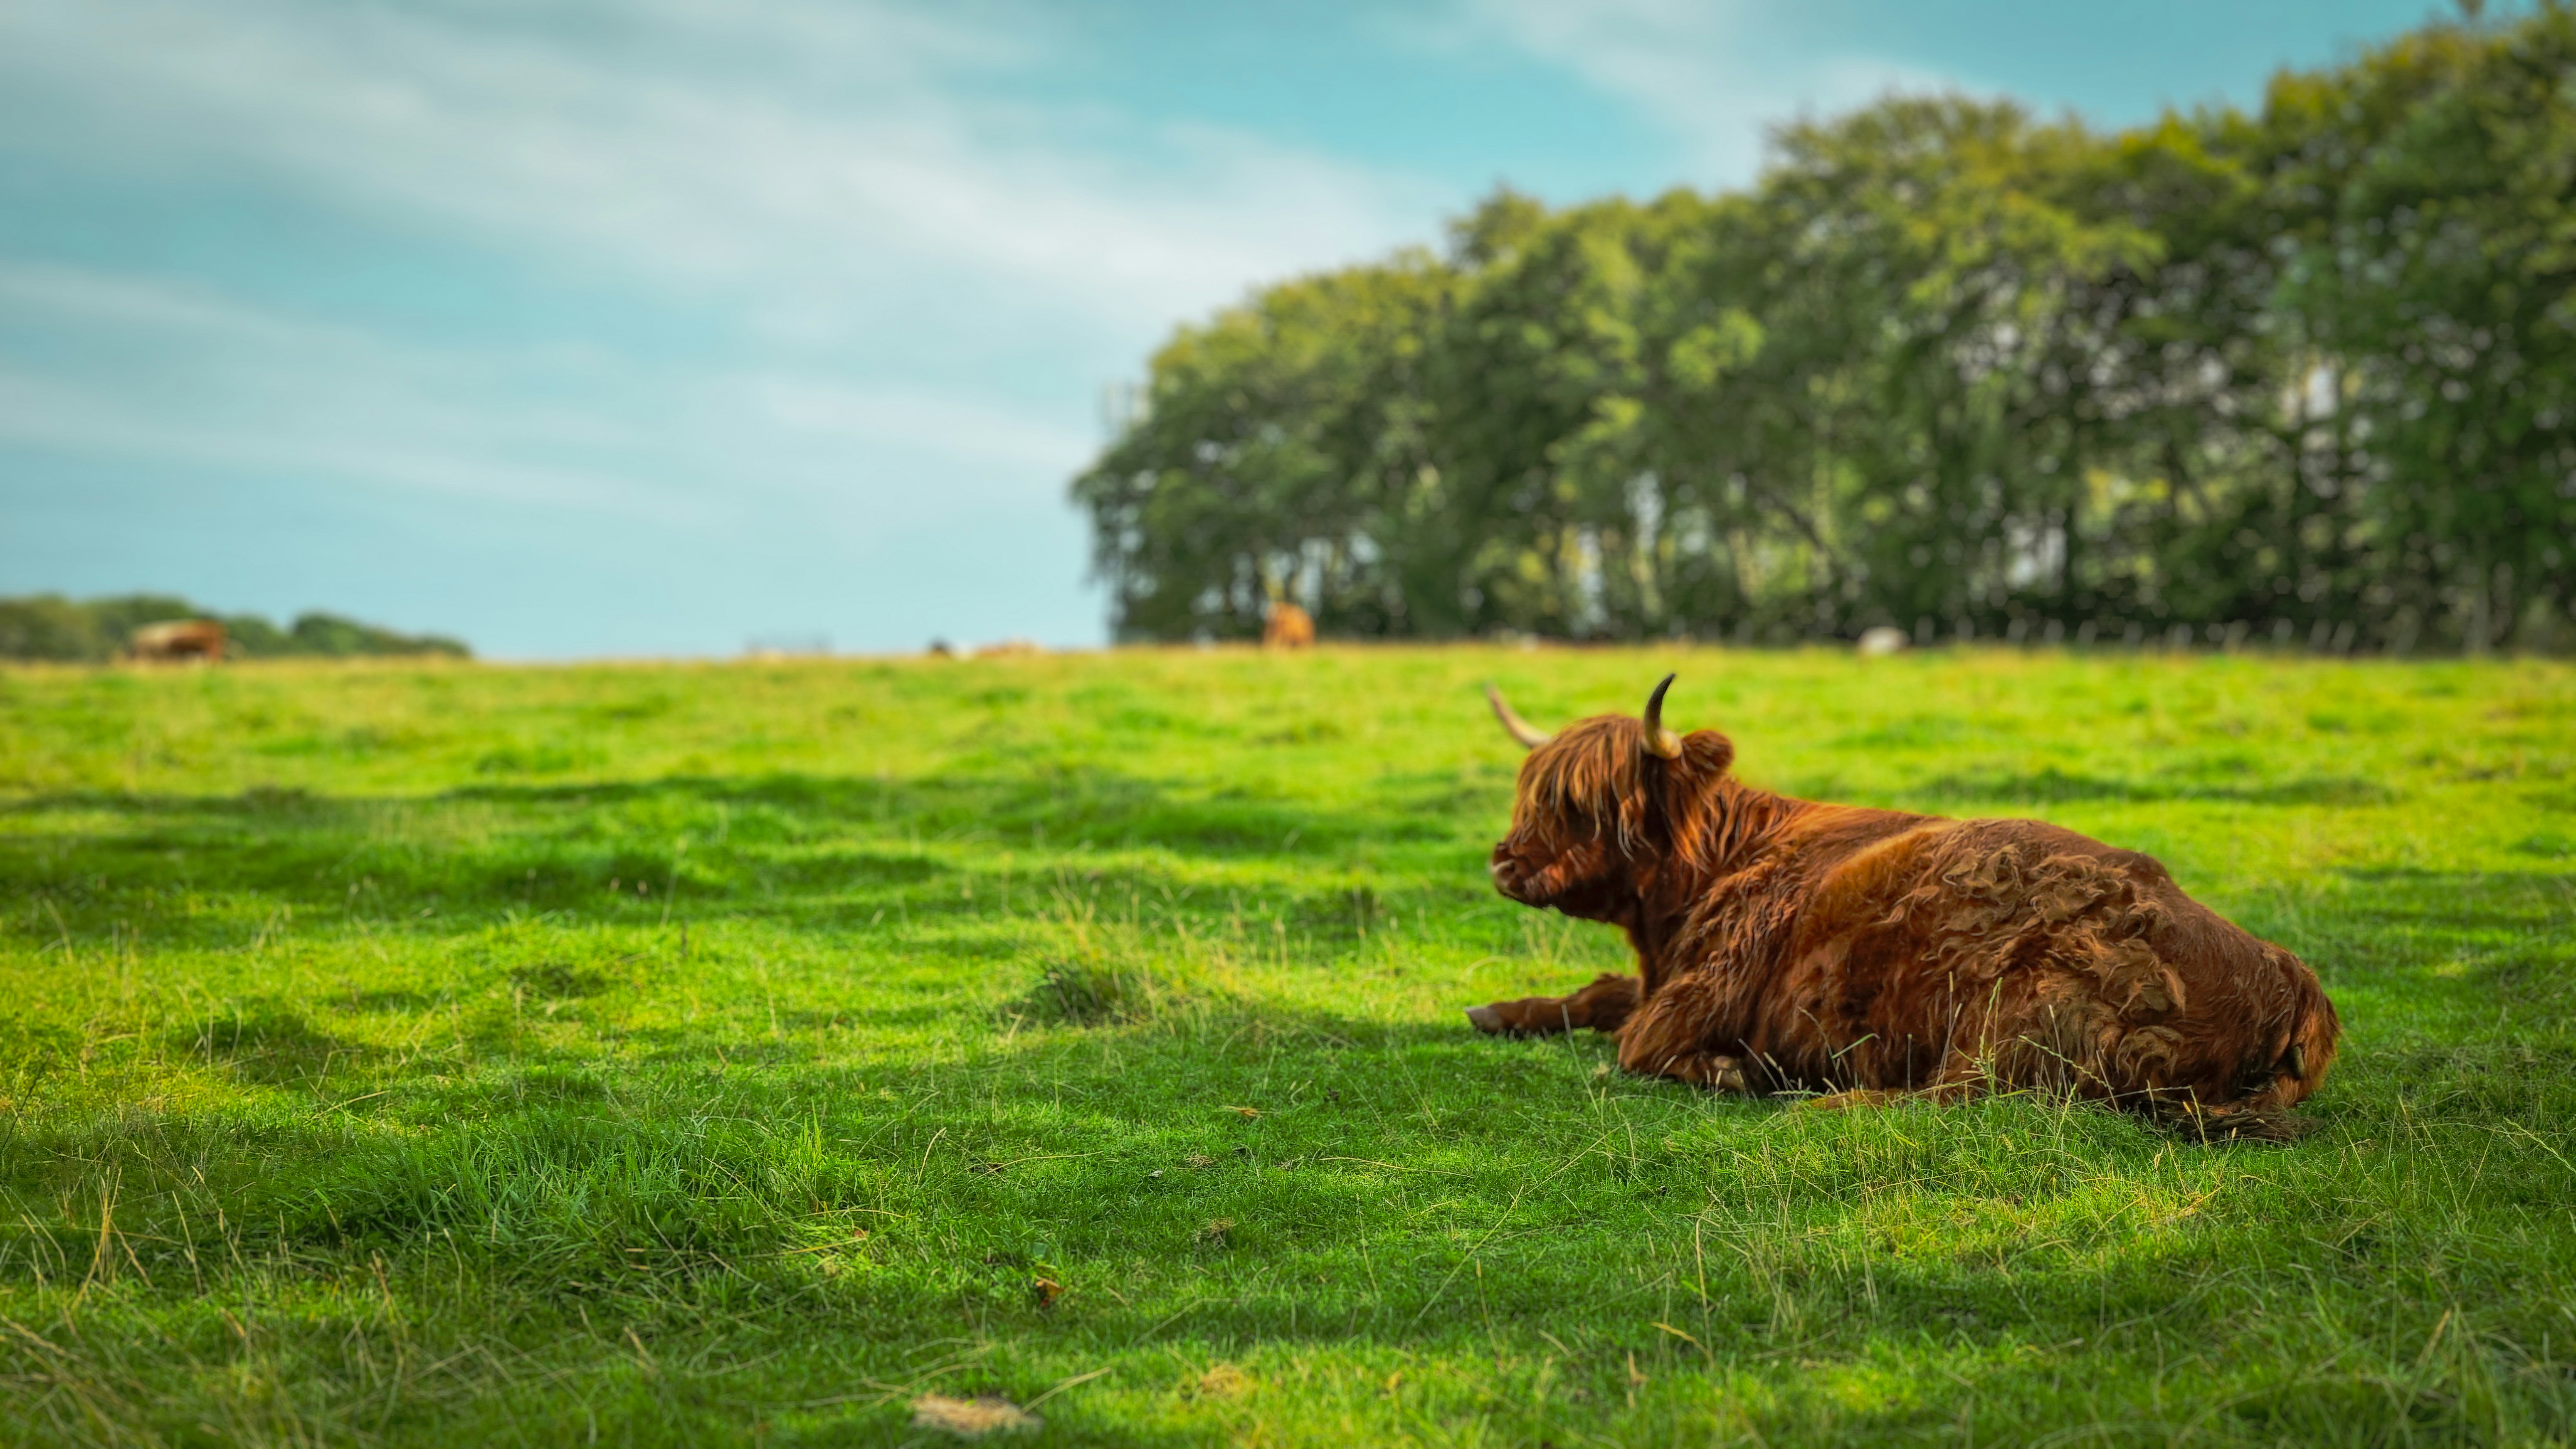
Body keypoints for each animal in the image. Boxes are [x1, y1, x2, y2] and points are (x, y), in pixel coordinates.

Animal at [1469, 675, 2340, 1130]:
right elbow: (1598, 995)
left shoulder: (1699, 991)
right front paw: (1497, 1012)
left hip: (2020, 1011)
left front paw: (1732, 1070)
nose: (1504, 861)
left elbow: (1636, 1043)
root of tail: (2292, 980)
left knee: (1963, 1098)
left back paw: (1812, 1102)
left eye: (1587, 804)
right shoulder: (1661, 979)